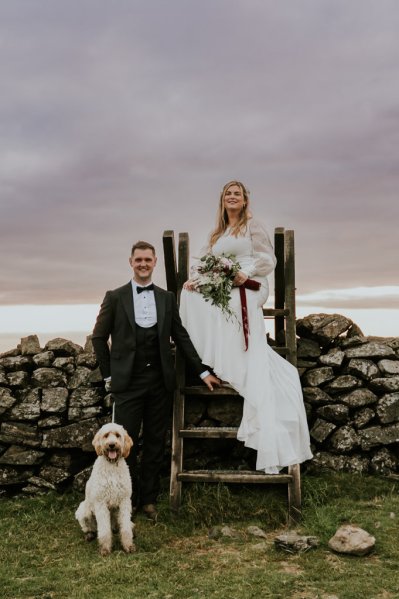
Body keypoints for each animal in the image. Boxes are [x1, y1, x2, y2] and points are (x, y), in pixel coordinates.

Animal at [75, 422, 136, 556]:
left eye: (118, 435)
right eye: (106, 435)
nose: (112, 445)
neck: (112, 465)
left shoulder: (124, 501)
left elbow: (125, 528)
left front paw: (128, 545)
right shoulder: (101, 503)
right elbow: (104, 530)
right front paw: (105, 548)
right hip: (84, 511)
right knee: (90, 527)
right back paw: (89, 535)